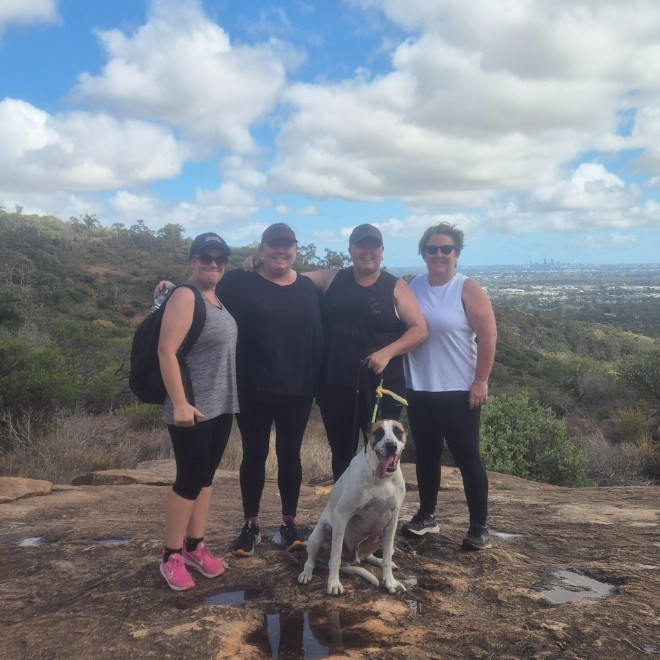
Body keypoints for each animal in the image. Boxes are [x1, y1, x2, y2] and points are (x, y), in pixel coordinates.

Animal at [298, 419, 407, 596]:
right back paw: (306, 574)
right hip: (318, 535)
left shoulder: (392, 520)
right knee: (312, 560)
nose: (391, 446)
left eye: (398, 431)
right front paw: (333, 583)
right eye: (378, 432)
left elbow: (387, 557)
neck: (382, 478)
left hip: (380, 534)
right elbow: (335, 557)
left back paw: (377, 560)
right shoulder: (341, 515)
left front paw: (390, 582)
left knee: (374, 556)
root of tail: (352, 559)